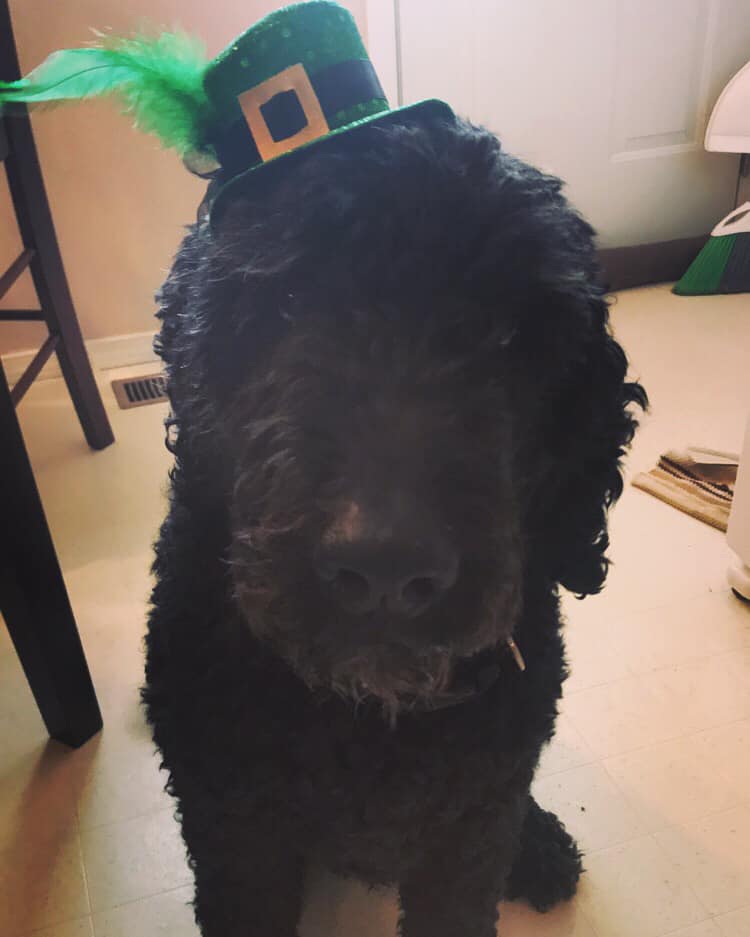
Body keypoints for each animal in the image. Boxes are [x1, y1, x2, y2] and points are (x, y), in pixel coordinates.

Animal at [144, 111, 648, 936]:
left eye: (508, 334)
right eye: (290, 298)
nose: (384, 565)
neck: (366, 718)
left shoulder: (470, 833)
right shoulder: (233, 831)